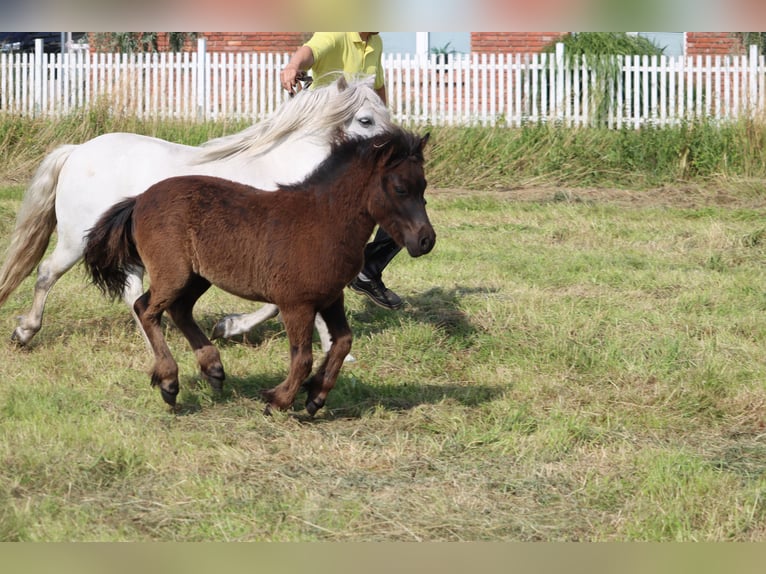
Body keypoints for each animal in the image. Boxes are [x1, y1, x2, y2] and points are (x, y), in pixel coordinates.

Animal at [0, 75, 396, 356]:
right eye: (365, 120)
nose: (400, 151)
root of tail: (78, 150)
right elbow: (278, 305)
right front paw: (229, 327)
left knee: (133, 295)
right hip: (75, 240)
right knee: (47, 274)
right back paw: (24, 332)